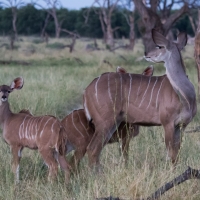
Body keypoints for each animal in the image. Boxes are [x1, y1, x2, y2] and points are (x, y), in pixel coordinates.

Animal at [83, 29, 197, 168]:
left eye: (160, 46)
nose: (146, 54)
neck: (186, 97)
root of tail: (87, 90)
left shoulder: (181, 125)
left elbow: (176, 152)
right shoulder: (167, 123)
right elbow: (171, 153)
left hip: (113, 123)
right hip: (105, 121)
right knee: (93, 148)